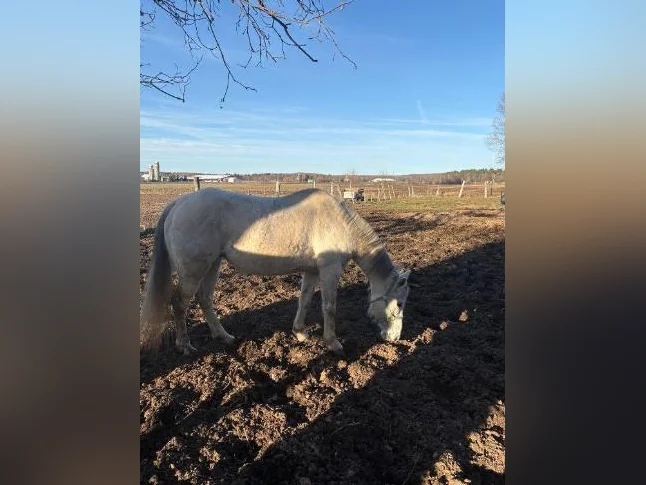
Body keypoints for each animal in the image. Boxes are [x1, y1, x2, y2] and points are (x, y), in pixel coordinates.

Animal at [140, 187, 411, 356]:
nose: (395, 338)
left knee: (205, 299)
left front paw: (300, 333)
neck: (341, 223)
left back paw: (224, 336)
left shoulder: (312, 271)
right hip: (193, 271)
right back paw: (185, 346)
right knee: (179, 303)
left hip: (212, 265)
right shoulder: (329, 270)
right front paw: (333, 344)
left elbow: (304, 301)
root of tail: (179, 203)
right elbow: (330, 308)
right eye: (399, 304)